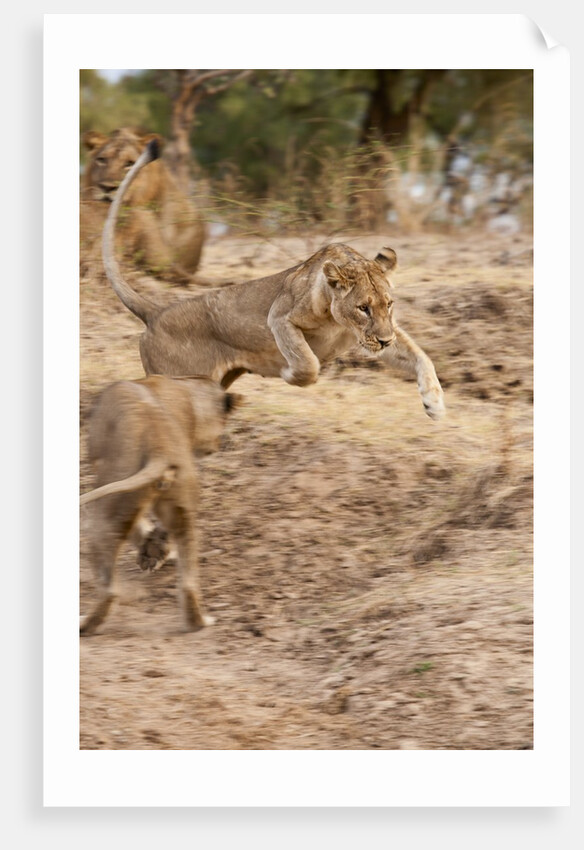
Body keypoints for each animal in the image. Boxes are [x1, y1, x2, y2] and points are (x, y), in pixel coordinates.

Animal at [80, 375, 242, 635]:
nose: (217, 446)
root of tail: (160, 449)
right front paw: (156, 550)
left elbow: (138, 528)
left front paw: (151, 551)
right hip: (183, 509)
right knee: (188, 582)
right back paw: (198, 622)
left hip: (104, 513)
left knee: (110, 588)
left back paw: (84, 625)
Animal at [102, 139, 445, 420]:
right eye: (363, 308)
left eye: (389, 304)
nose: (384, 340)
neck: (340, 322)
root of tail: (156, 312)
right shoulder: (280, 316)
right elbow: (308, 362)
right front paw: (289, 373)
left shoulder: (382, 333)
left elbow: (421, 356)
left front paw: (435, 403)